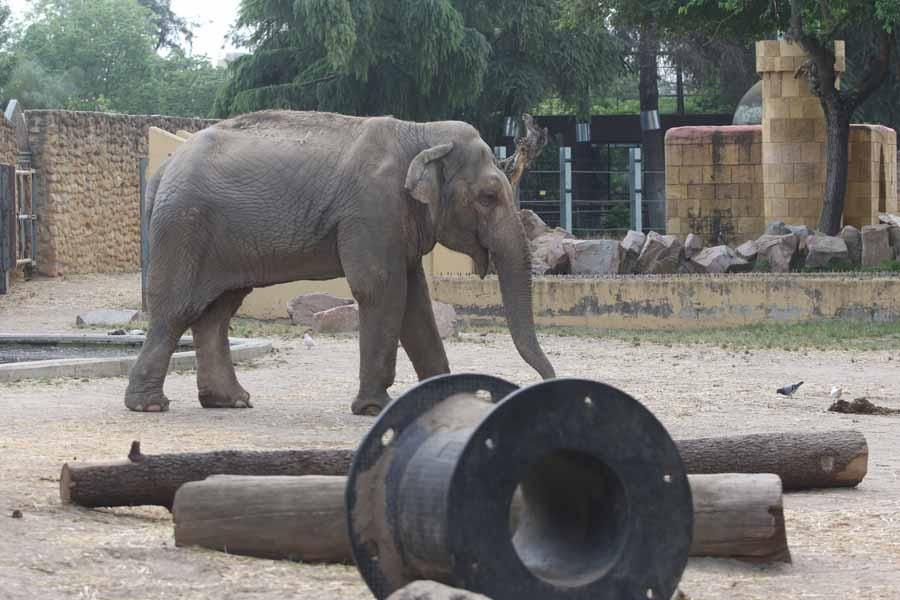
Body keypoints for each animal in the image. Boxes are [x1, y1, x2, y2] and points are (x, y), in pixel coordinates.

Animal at [128, 110, 556, 414]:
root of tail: (161, 170)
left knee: (217, 312)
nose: (546, 381)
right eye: (488, 197)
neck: (421, 133)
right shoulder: (371, 211)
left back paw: (230, 401)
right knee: (177, 309)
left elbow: (415, 299)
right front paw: (373, 408)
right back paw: (150, 405)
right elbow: (381, 289)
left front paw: (445, 396)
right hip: (185, 227)